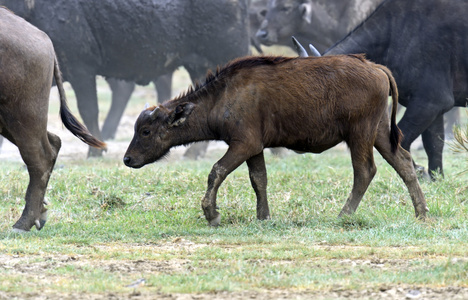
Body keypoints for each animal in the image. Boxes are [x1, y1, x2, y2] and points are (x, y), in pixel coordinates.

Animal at [123, 55, 428, 226]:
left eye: (146, 131)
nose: (127, 159)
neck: (223, 96)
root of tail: (376, 68)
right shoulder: (254, 148)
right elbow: (259, 180)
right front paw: (263, 216)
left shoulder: (242, 145)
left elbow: (216, 171)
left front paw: (212, 214)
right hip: (379, 133)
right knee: (404, 163)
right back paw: (422, 212)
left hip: (360, 134)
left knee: (364, 171)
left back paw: (344, 215)